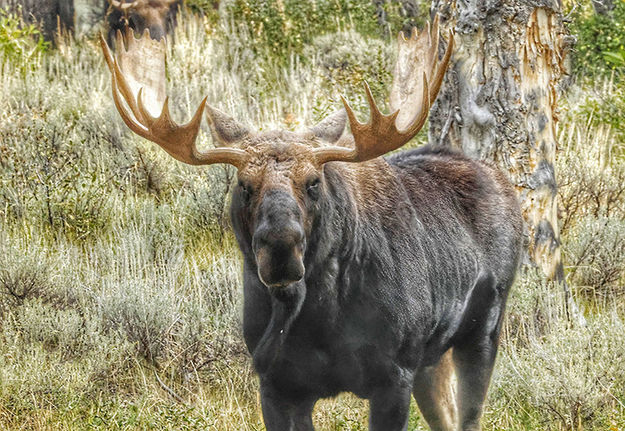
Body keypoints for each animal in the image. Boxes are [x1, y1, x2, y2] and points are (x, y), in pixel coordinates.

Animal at [100, 15, 524, 430]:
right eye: (244, 184)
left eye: (314, 182)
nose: (281, 250)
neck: (317, 318)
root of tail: (500, 179)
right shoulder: (278, 384)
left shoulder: (393, 375)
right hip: (431, 359)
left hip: (482, 331)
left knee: (469, 415)